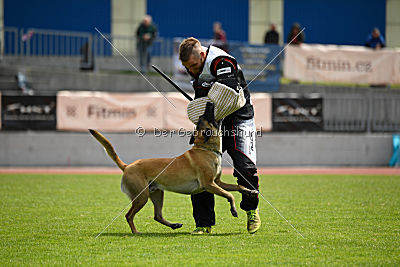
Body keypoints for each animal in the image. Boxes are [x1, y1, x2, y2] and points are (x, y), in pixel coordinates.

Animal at [89, 102, 258, 234]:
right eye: (206, 117)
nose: (209, 103)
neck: (205, 149)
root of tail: (127, 166)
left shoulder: (217, 182)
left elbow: (238, 186)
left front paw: (249, 191)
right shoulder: (209, 184)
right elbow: (230, 195)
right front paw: (233, 210)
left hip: (157, 193)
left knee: (157, 215)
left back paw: (174, 225)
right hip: (142, 197)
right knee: (129, 215)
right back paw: (136, 232)